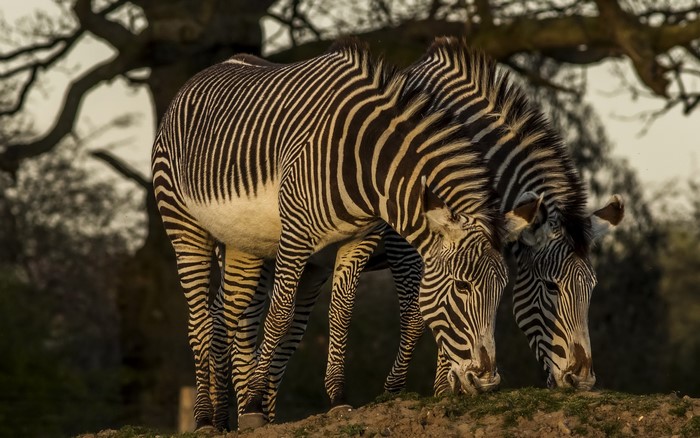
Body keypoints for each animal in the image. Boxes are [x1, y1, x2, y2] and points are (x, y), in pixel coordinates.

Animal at [152, 39, 536, 431]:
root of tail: (198, 77)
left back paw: (223, 417)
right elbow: (280, 316)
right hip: (186, 230)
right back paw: (207, 417)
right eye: (462, 286)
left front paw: (337, 398)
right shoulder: (299, 235)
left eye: (502, 289)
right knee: (201, 321)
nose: (486, 381)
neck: (369, 166)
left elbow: (341, 313)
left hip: (244, 245)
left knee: (224, 317)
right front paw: (256, 403)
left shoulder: (358, 239)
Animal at [228, 37, 624, 422]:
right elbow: (421, 314)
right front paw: (403, 390)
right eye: (550, 287)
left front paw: (449, 387)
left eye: (591, 288)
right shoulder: (407, 244)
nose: (582, 381)